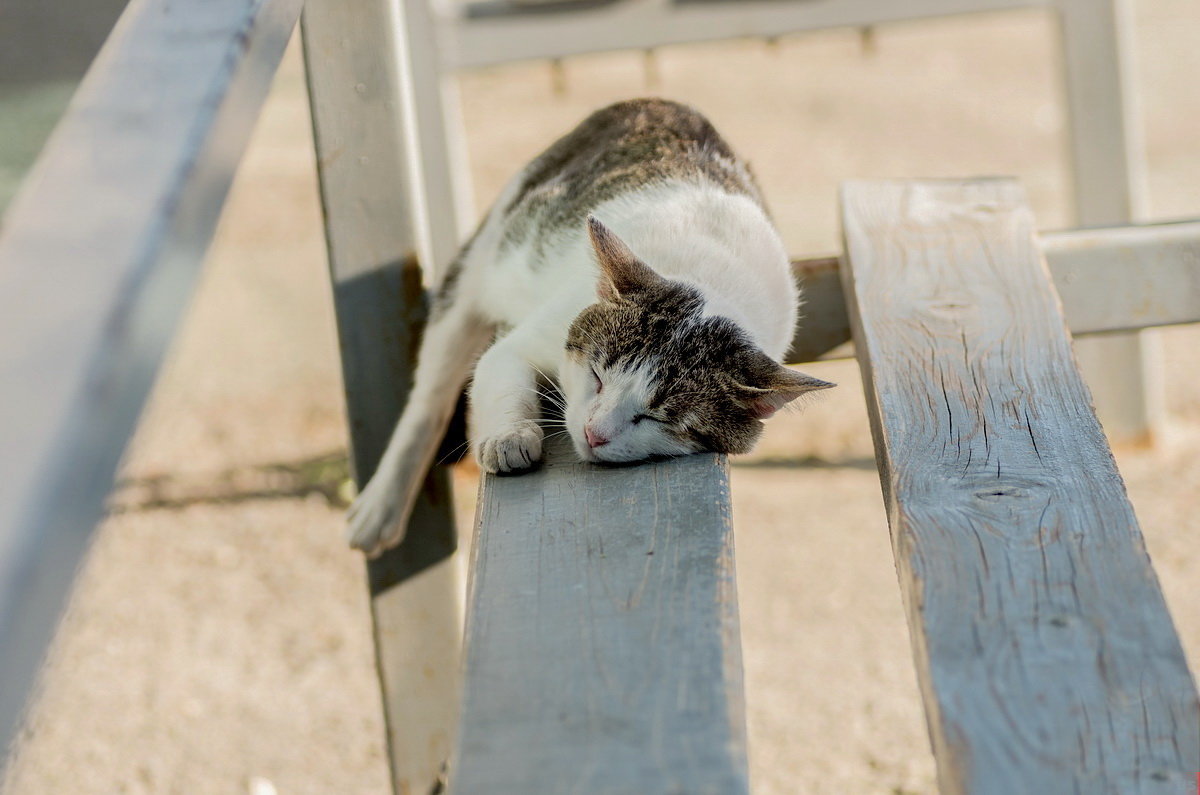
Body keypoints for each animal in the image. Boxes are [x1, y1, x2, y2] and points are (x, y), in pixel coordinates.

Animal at [348, 99, 835, 557]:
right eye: (598, 377)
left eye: (659, 417)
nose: (593, 433)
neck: (712, 278)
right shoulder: (531, 334)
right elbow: (503, 370)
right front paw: (509, 437)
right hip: (482, 258)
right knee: (429, 396)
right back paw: (382, 504)